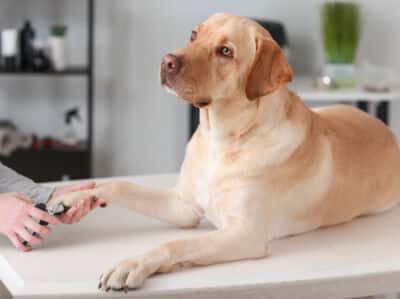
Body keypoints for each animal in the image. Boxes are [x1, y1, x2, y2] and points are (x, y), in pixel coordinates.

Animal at [48, 12, 400, 292]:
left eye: (225, 51)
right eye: (194, 34)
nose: (166, 61)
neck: (223, 139)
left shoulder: (245, 234)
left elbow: (175, 243)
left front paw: (131, 264)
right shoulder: (183, 207)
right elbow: (119, 184)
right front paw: (71, 196)